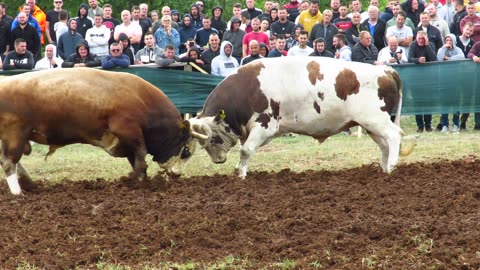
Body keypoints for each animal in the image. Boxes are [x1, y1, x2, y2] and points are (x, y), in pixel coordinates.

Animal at [0, 67, 204, 194]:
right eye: (186, 151)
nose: (177, 174)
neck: (142, 99)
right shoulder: (129, 131)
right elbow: (140, 158)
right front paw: (141, 182)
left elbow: (135, 160)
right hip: (15, 134)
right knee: (9, 162)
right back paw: (18, 193)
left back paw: (28, 183)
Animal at [190, 57, 412, 178]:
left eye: (214, 138)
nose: (217, 160)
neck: (247, 89)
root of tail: (384, 69)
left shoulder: (265, 125)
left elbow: (245, 150)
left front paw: (241, 174)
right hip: (369, 124)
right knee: (384, 145)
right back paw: (384, 169)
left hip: (375, 120)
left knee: (394, 135)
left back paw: (392, 165)